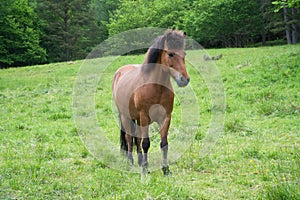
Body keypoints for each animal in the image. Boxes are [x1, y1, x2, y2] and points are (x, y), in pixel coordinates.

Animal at [112, 30, 190, 175]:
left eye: (184, 54)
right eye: (170, 54)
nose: (185, 79)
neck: (155, 87)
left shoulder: (166, 117)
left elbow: (164, 144)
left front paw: (165, 169)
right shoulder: (144, 116)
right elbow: (146, 143)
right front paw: (145, 169)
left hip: (136, 119)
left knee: (136, 138)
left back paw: (139, 160)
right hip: (126, 117)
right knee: (129, 138)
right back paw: (131, 161)